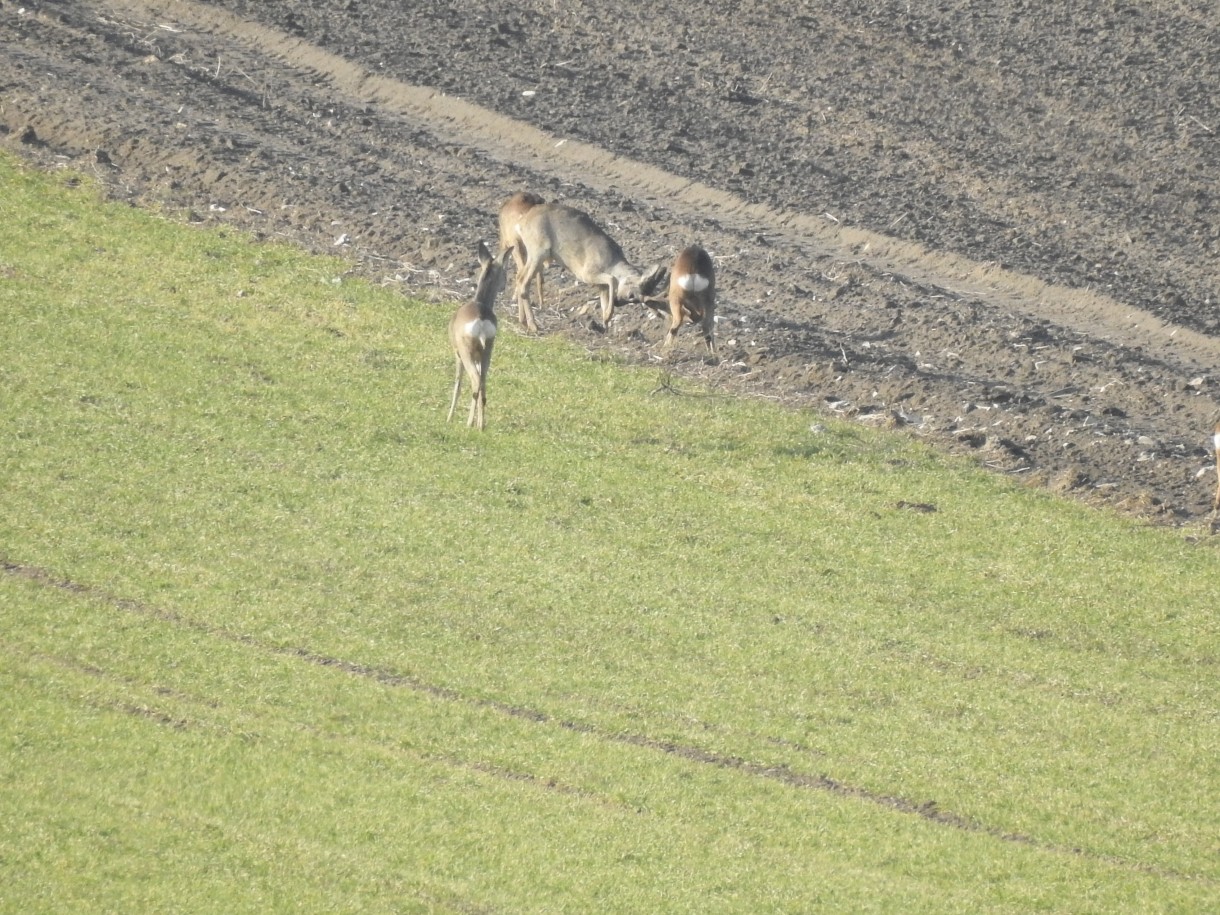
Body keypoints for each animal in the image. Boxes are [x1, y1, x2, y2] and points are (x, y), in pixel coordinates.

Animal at [448, 241, 509, 431]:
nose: (505, 285)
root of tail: (481, 318)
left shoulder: (457, 354)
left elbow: (458, 384)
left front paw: (449, 418)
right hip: (487, 350)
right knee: (482, 382)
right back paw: (481, 425)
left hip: (467, 352)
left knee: (475, 381)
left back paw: (469, 424)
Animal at [514, 202, 668, 331]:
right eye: (631, 295)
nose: (618, 302)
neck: (612, 262)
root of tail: (522, 221)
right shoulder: (587, 274)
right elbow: (612, 279)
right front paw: (607, 317)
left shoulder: (601, 286)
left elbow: (605, 299)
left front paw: (605, 323)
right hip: (538, 254)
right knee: (523, 283)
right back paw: (533, 326)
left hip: (534, 256)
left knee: (519, 277)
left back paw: (523, 321)